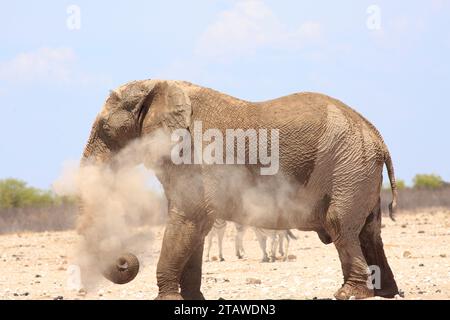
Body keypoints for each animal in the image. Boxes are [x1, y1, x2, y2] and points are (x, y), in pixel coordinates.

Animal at [79, 79, 400, 300]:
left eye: (105, 129)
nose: (125, 260)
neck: (159, 85)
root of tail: (378, 136)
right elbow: (194, 228)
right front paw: (192, 299)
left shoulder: (196, 157)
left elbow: (187, 220)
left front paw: (168, 299)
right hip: (359, 170)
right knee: (369, 232)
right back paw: (386, 292)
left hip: (349, 165)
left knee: (339, 224)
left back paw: (350, 294)